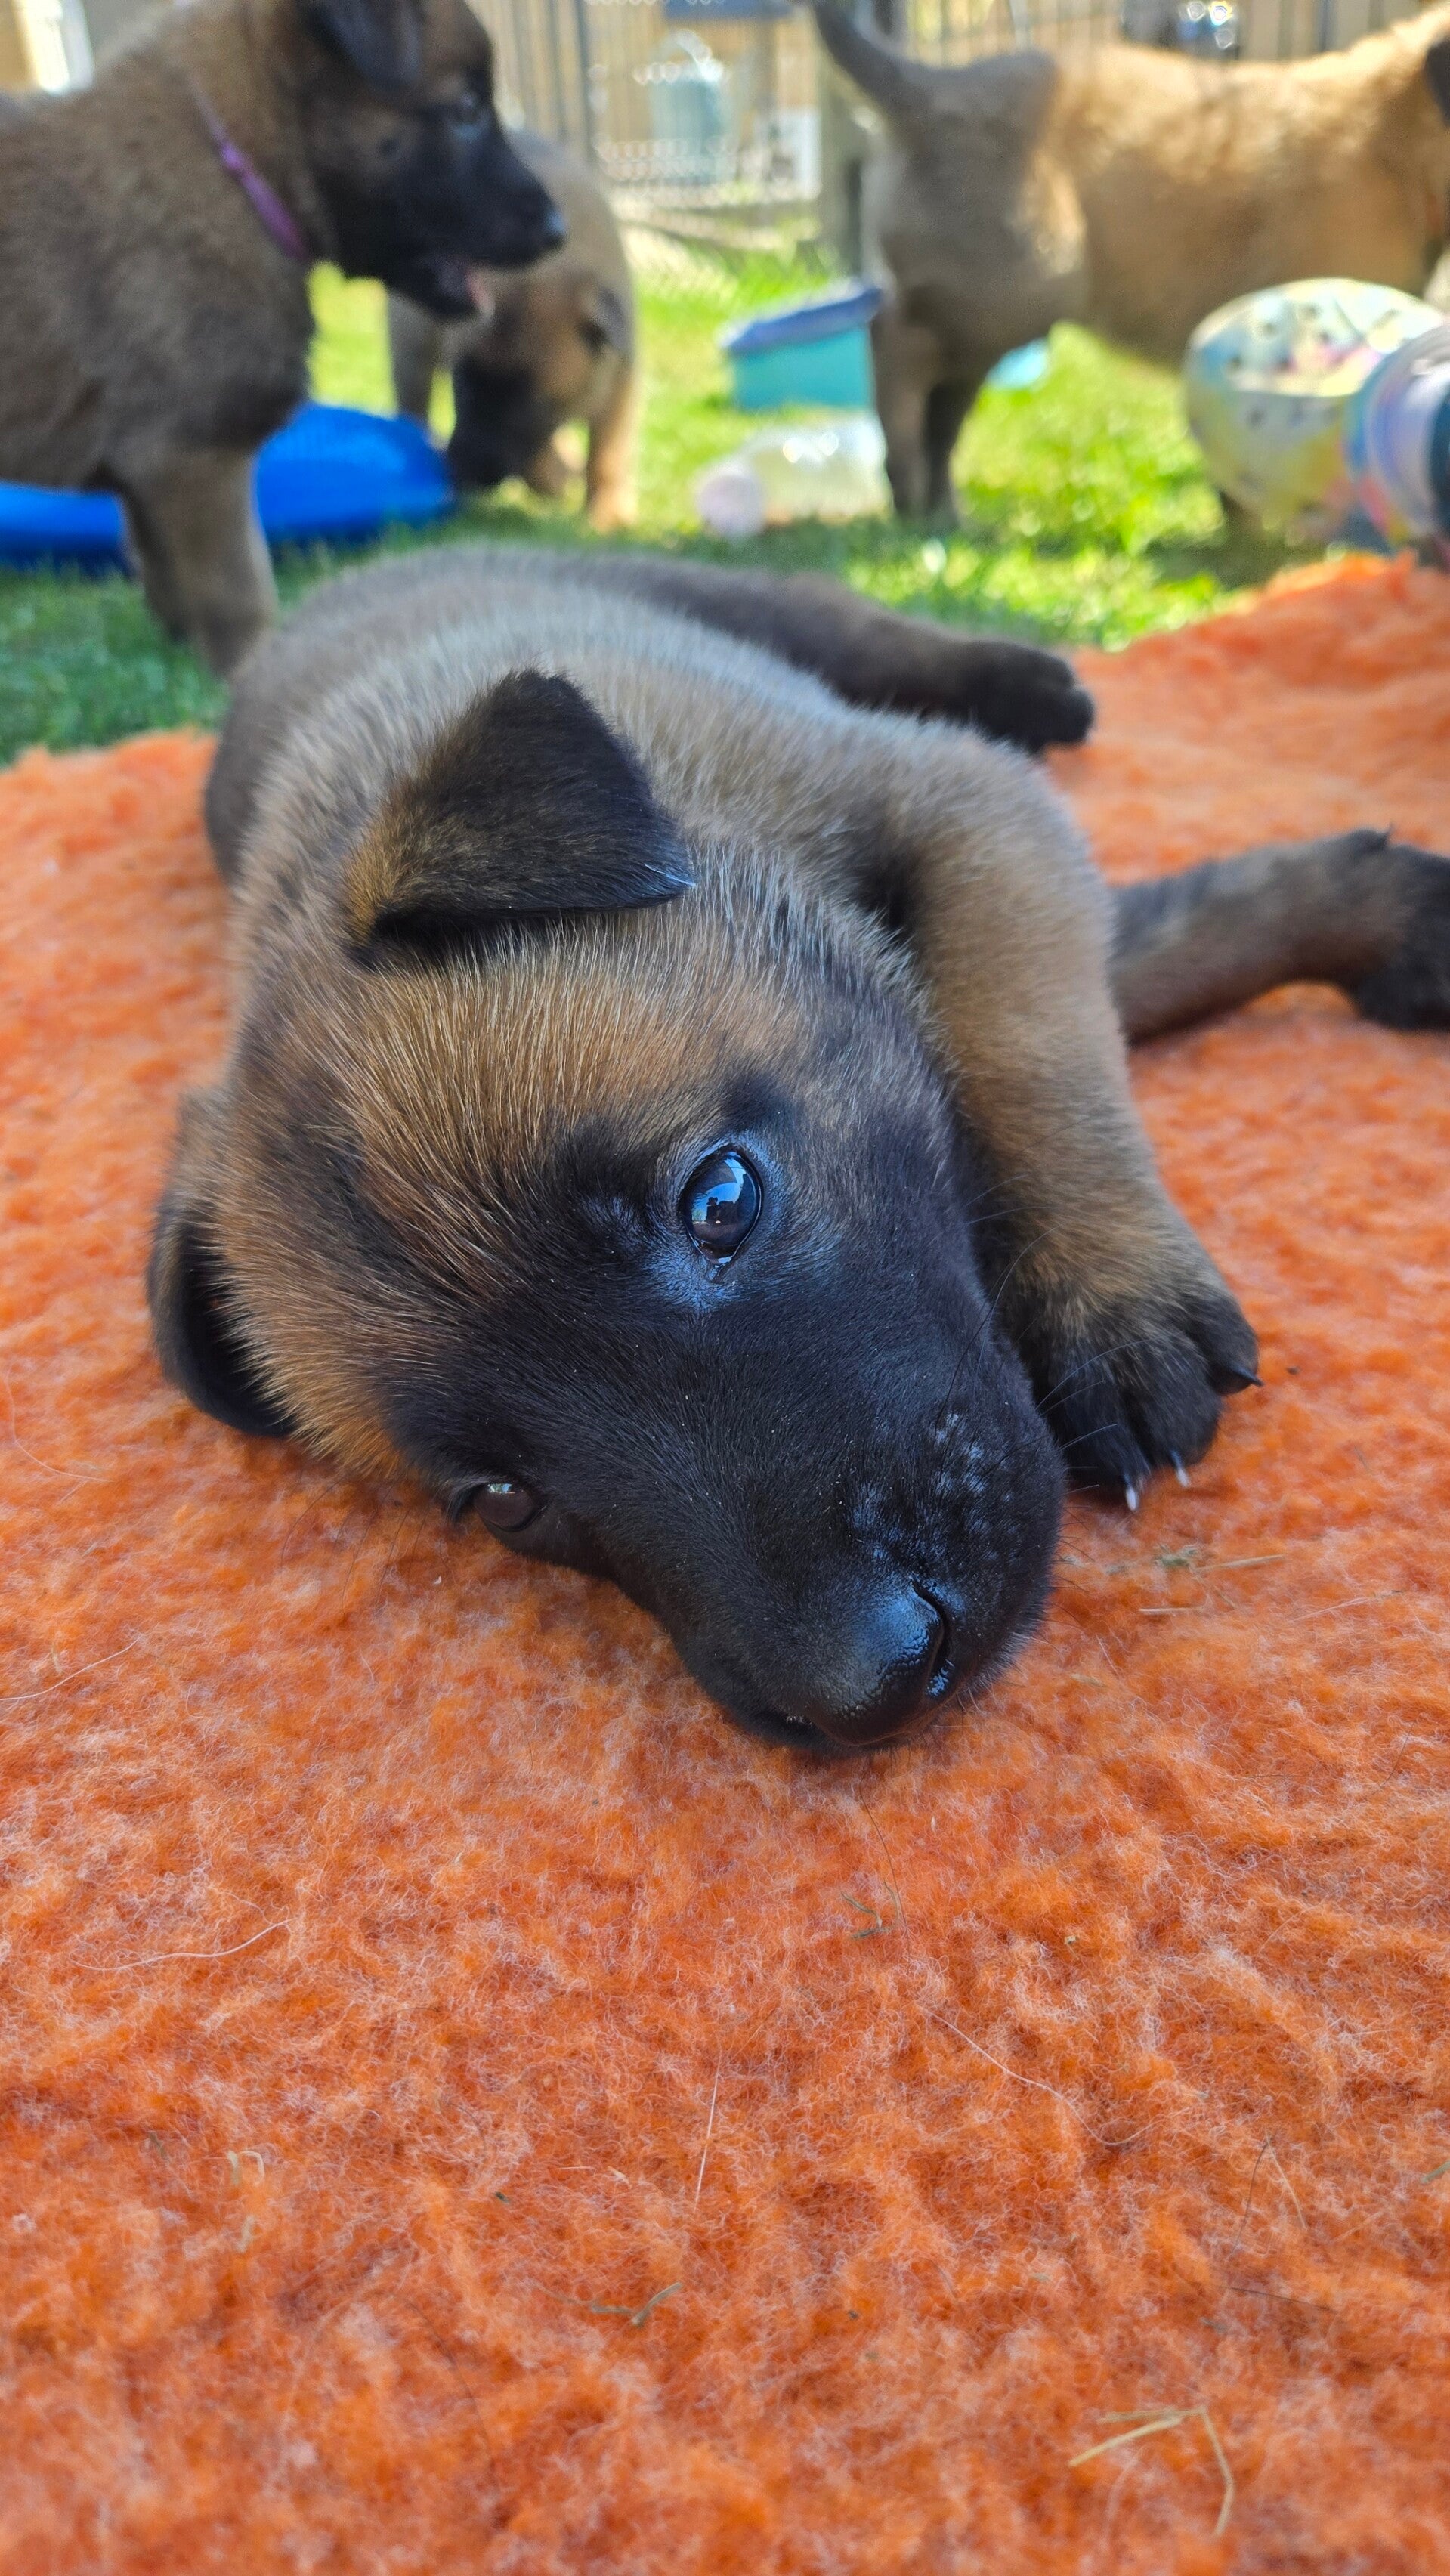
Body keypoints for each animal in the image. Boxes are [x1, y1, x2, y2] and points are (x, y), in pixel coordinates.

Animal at [0, 0, 562, 674]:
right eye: (467, 111)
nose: (558, 228)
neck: (237, 166)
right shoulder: (198, 461)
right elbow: (244, 601)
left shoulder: (151, 484)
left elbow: (164, 583)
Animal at [148, 548, 1450, 1749]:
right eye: (504, 1498)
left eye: (719, 1198)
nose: (871, 1686)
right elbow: (1163, 953)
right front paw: (1381, 919)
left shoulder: (962, 818)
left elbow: (1033, 1042)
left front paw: (1109, 1294)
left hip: (739, 602)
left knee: (864, 627)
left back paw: (1029, 683)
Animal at [388, 129, 637, 532]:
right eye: (462, 385)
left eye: (530, 399)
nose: (463, 474)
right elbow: (536, 464)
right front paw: (554, 478)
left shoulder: (621, 378)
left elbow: (608, 449)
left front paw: (607, 509)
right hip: (411, 338)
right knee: (412, 402)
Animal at [814, 0, 1450, 516]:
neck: (1396, 145)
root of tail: (929, 92)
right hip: (1016, 283)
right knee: (892, 343)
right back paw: (905, 481)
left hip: (989, 306)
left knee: (940, 402)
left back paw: (937, 508)